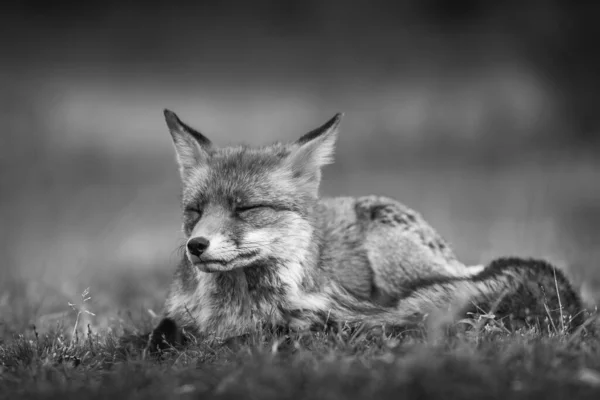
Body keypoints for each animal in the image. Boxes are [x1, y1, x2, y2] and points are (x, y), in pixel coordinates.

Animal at [144, 110, 580, 354]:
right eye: (195, 211)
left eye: (246, 209)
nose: (196, 246)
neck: (237, 309)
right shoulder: (175, 316)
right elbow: (158, 337)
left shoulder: (308, 319)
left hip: (395, 260)